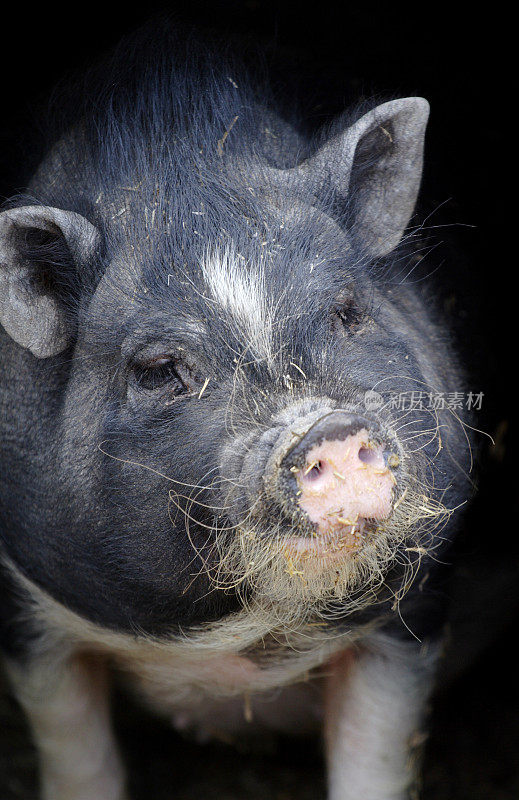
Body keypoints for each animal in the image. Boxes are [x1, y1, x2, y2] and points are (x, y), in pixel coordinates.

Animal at [0, 23, 474, 800]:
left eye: (347, 310)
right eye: (159, 369)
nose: (326, 427)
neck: (238, 651)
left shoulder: (410, 615)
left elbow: (372, 756)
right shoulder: (31, 614)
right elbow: (77, 754)